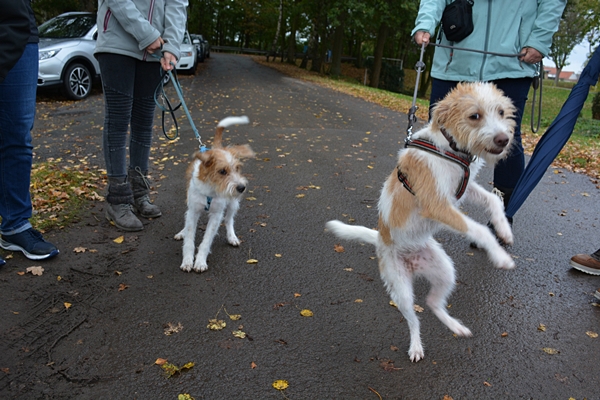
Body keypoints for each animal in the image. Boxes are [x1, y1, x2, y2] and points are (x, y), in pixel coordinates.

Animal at [176, 115, 255, 272]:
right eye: (222, 171)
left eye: (237, 168)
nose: (242, 188)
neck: (210, 189)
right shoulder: (193, 210)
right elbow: (189, 238)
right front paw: (187, 260)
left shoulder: (216, 215)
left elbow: (206, 241)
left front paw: (200, 261)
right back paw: (182, 232)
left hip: (232, 203)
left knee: (229, 220)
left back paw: (232, 237)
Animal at [326, 82, 516, 362]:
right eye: (475, 116)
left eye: (501, 112)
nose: (503, 139)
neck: (450, 148)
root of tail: (381, 239)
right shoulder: (436, 205)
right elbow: (479, 229)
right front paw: (500, 256)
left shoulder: (463, 189)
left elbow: (493, 201)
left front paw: (504, 230)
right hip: (400, 289)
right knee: (414, 319)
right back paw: (416, 346)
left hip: (445, 271)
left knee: (433, 303)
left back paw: (456, 327)